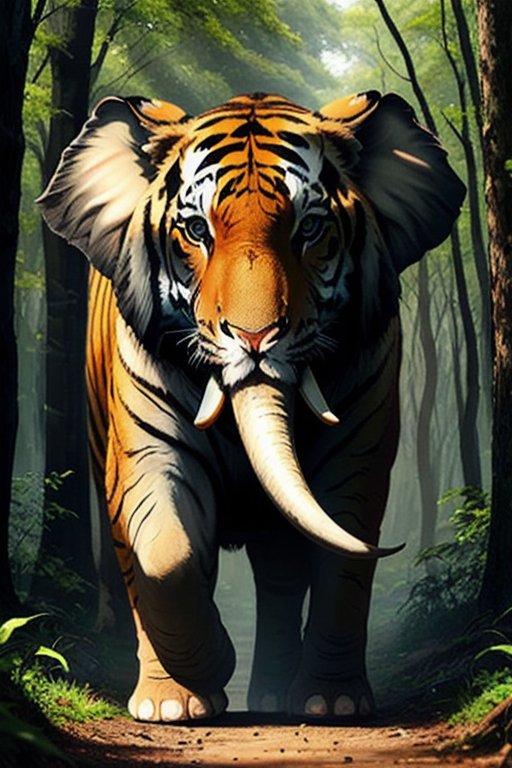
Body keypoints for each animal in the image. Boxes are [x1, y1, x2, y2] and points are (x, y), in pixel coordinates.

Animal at [38, 90, 465, 721]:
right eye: (196, 230)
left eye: (309, 229)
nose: (255, 337)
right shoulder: (148, 449)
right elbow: (167, 556)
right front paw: (185, 693)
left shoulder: (358, 452)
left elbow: (342, 559)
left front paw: (333, 701)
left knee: (282, 576)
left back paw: (270, 693)